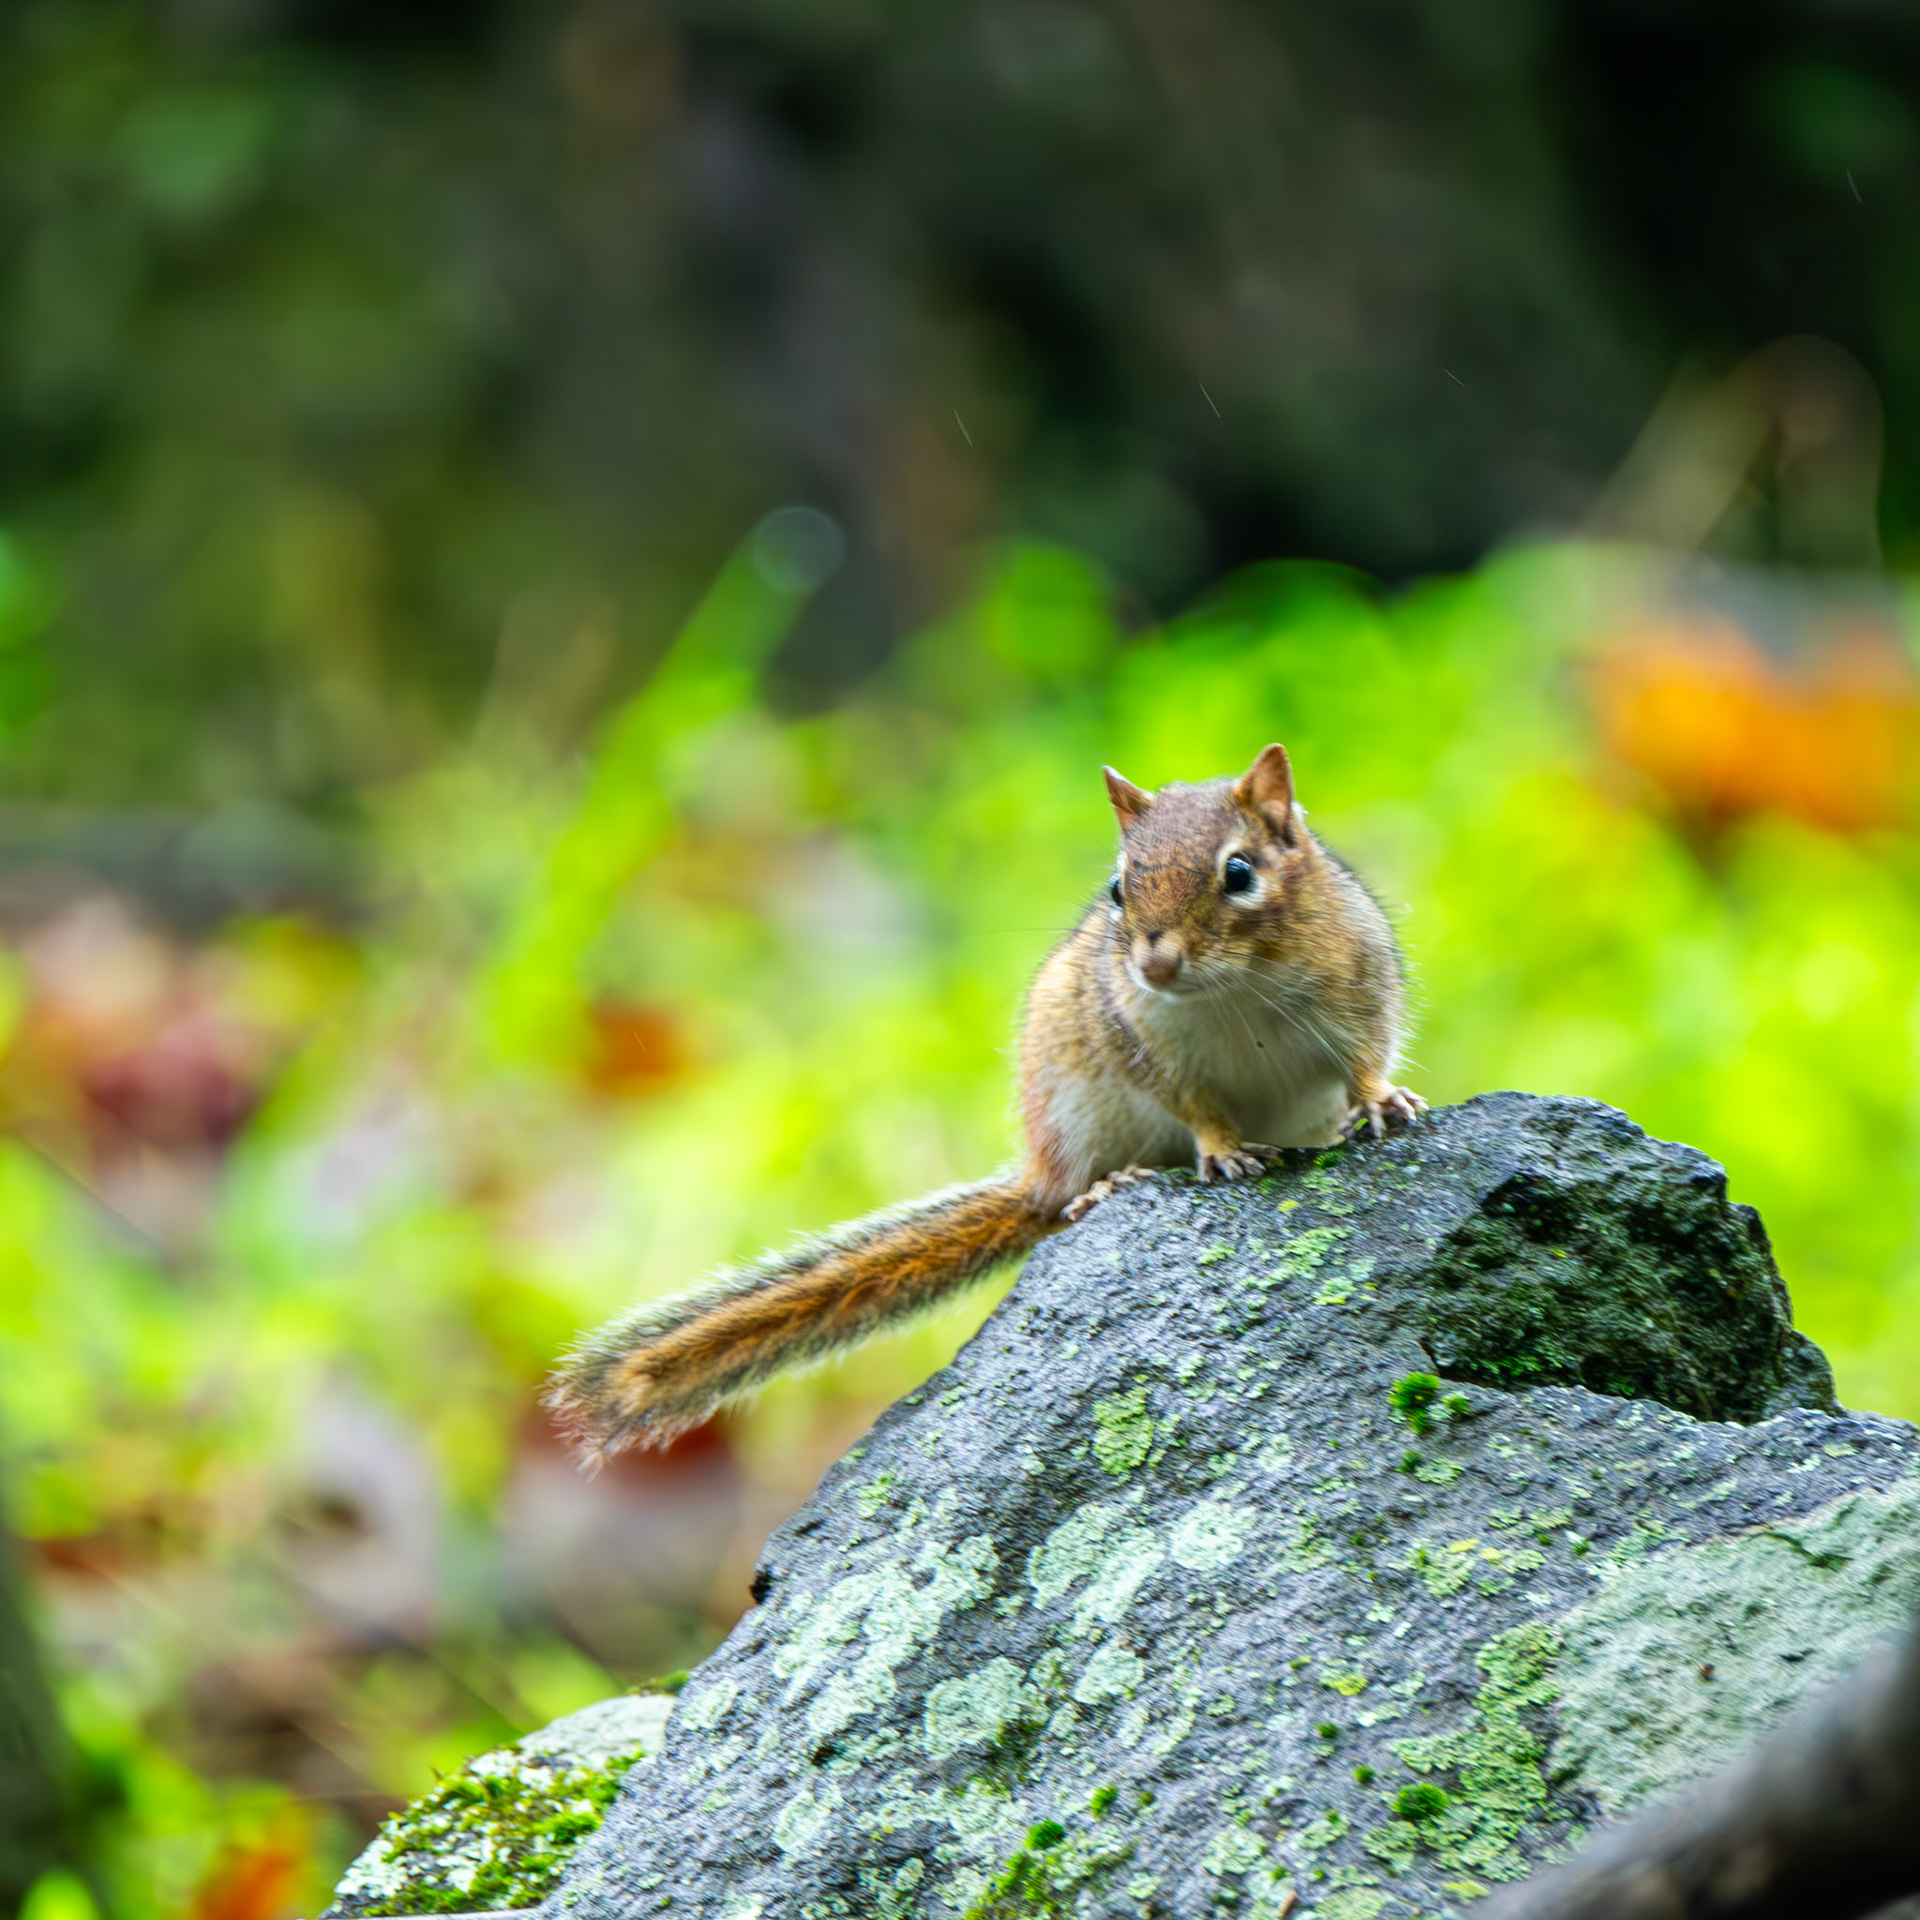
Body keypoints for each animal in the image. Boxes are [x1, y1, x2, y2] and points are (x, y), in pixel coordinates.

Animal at [547, 743, 1422, 1459]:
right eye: (1117, 888)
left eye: (1239, 874)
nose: (1155, 964)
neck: (1236, 991)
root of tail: (1036, 1176)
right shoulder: (1147, 1045)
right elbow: (1198, 1108)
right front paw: (1223, 1150)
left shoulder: (1358, 990)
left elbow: (1366, 1059)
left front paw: (1382, 1103)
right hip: (1075, 1115)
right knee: (1068, 1198)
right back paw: (1111, 1186)